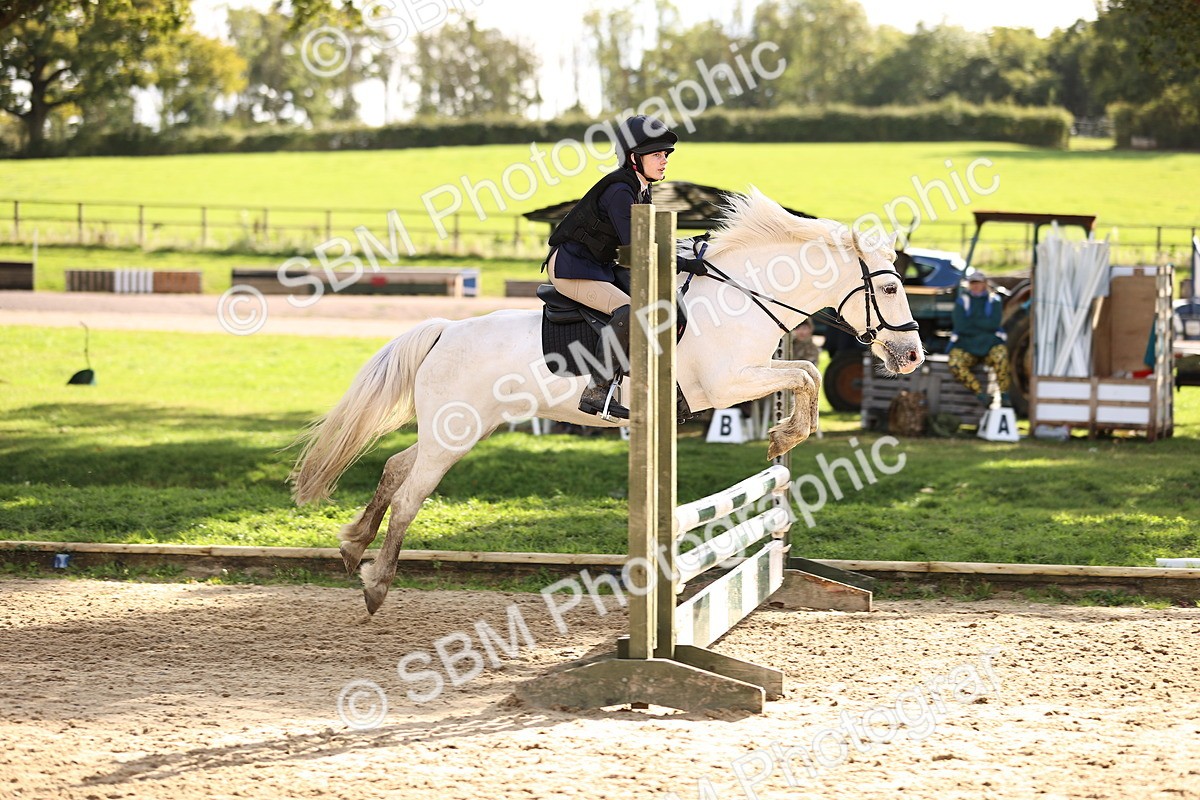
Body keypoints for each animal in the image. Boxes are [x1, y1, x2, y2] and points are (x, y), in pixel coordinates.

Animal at [290, 188, 925, 614]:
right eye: (893, 286)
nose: (912, 354)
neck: (742, 298)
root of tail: (446, 330)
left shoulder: (752, 374)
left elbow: (803, 374)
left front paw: (783, 436)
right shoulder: (725, 384)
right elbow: (806, 374)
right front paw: (785, 435)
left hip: (455, 431)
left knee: (397, 469)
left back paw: (351, 548)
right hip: (453, 434)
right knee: (411, 493)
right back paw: (376, 584)